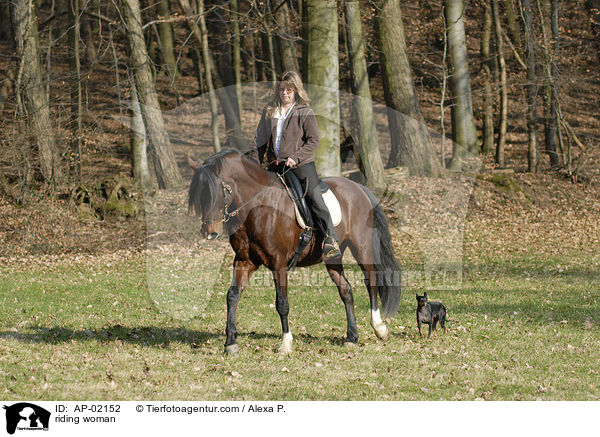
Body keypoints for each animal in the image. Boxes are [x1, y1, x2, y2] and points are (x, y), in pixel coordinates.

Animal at [190, 148, 400, 352]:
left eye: (219, 191)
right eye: (200, 195)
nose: (209, 233)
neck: (257, 207)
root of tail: (358, 188)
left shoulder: (279, 262)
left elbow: (282, 303)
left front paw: (286, 343)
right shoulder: (244, 260)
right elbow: (233, 296)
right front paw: (231, 343)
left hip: (361, 248)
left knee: (371, 282)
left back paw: (379, 328)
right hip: (333, 257)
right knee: (346, 290)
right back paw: (351, 337)